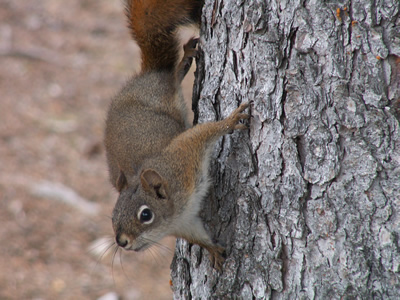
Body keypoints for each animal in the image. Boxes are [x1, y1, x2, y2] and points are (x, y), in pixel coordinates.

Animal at [104, 0, 250, 270]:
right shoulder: (185, 222)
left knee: (172, 75)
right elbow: (198, 237)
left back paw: (186, 58)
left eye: (146, 215)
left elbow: (203, 133)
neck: (176, 209)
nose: (121, 242)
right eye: (113, 215)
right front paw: (213, 250)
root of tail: (145, 75)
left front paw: (230, 121)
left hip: (162, 93)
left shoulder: (184, 156)